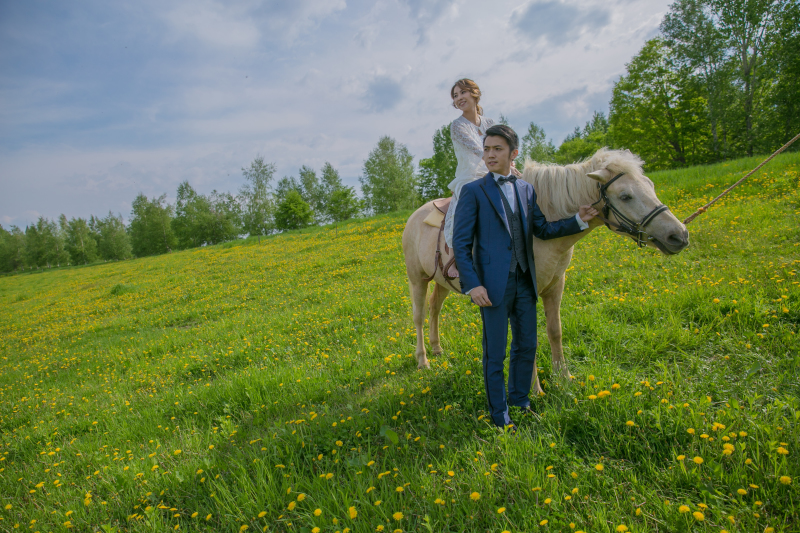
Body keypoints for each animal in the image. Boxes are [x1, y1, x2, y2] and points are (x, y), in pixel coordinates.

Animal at [404, 148, 692, 392]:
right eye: (625, 196)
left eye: (650, 186)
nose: (679, 235)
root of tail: (414, 215)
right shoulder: (523, 294)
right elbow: (525, 338)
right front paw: (534, 390)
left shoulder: (556, 287)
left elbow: (555, 331)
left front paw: (563, 378)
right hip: (417, 280)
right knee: (419, 316)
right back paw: (423, 361)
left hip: (441, 281)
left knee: (435, 308)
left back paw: (437, 349)